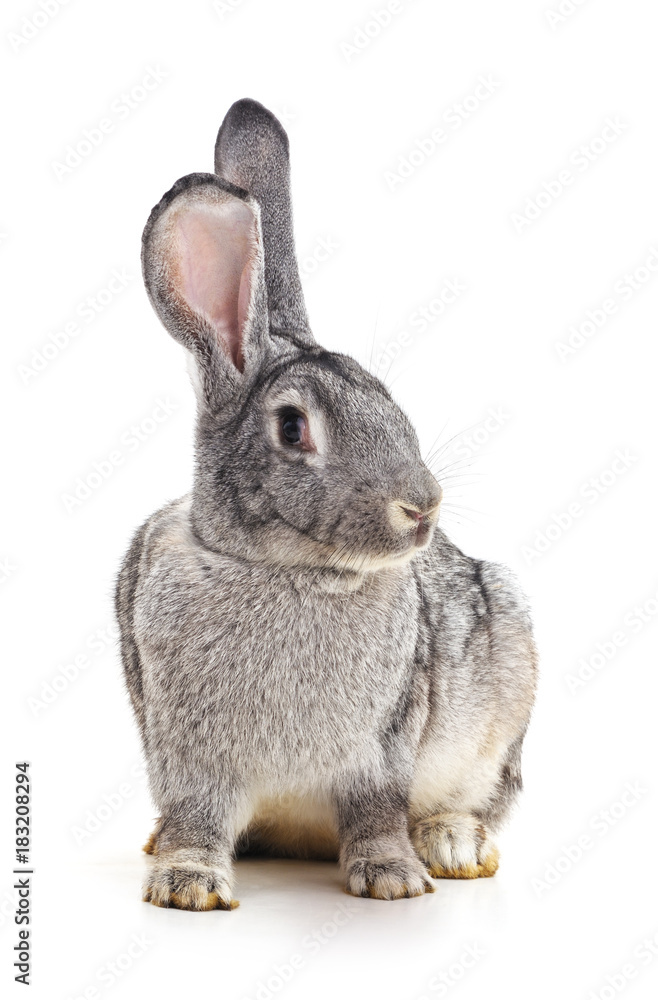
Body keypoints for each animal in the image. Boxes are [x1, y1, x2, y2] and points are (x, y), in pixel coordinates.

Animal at [116, 98, 537, 910]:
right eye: (291, 428)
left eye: (387, 398)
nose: (422, 506)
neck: (287, 570)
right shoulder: (186, 757)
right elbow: (195, 815)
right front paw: (187, 882)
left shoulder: (383, 745)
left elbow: (376, 809)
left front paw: (394, 879)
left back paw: (453, 845)